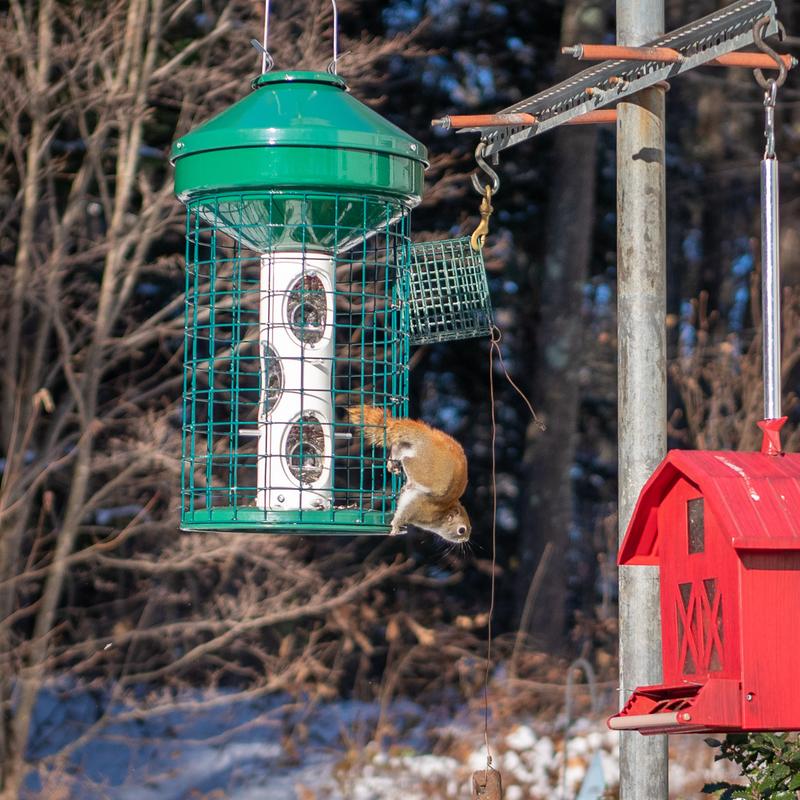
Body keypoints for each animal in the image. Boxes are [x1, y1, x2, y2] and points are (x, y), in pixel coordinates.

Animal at [347, 405, 471, 543]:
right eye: (461, 530)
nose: (466, 540)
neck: (441, 514)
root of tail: (429, 439)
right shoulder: (417, 507)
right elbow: (403, 514)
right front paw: (395, 526)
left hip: (410, 450)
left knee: (398, 448)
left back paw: (392, 463)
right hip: (425, 471)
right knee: (406, 461)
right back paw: (407, 482)